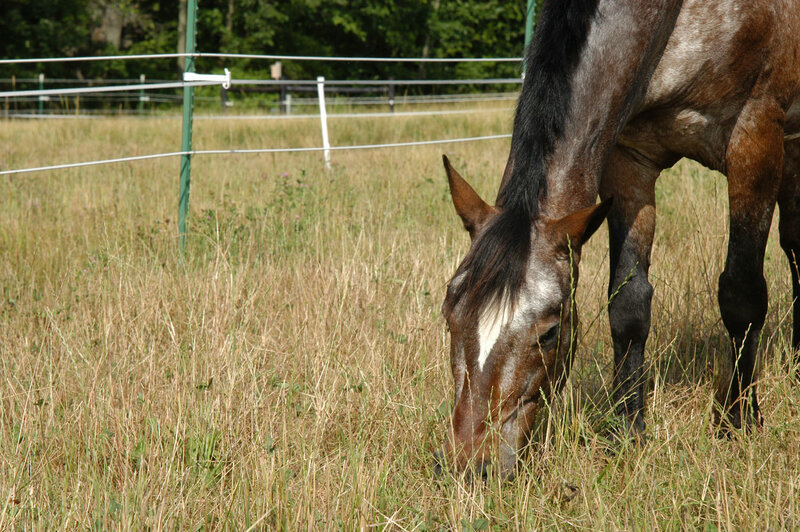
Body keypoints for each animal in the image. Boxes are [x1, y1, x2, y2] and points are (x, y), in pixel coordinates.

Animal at [438, 0, 800, 479]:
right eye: (450, 316)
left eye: (550, 333)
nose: (469, 464)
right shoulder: (630, 159)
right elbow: (627, 305)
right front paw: (627, 429)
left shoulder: (755, 138)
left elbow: (741, 295)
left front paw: (738, 421)